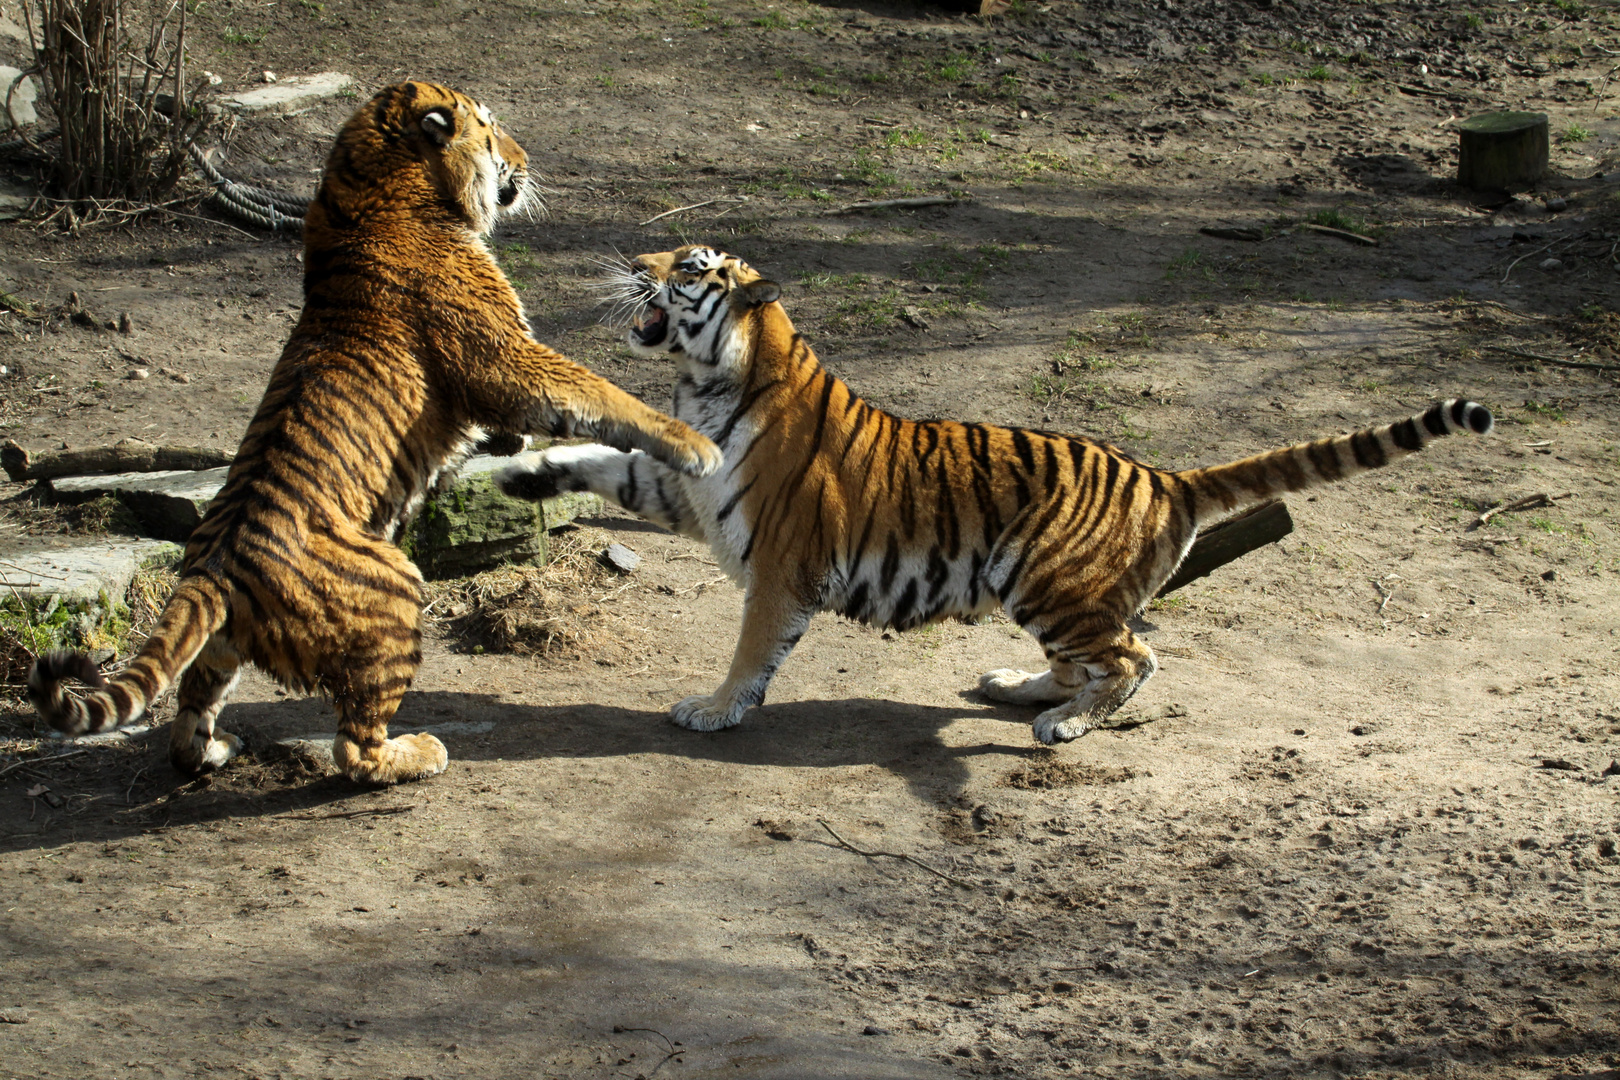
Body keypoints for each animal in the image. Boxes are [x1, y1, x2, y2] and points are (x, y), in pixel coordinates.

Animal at [23, 80, 722, 780]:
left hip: (218, 650)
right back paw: (419, 753)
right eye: (492, 129)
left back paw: (215, 749)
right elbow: (599, 392)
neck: (365, 187)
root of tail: (213, 569)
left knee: (189, 719)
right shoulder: (506, 358)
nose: (527, 161)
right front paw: (695, 446)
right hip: (396, 591)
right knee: (354, 747)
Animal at [495, 246, 1490, 748]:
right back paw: (1017, 686)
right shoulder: (683, 482)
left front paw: (714, 708)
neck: (709, 380)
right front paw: (510, 474)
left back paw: (1061, 724)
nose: (634, 251)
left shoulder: (780, 560)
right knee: (1097, 657)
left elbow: (750, 651)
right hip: (1051, 594)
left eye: (691, 265)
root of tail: (1167, 473)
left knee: (1135, 659)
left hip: (1048, 580)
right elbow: (606, 458)